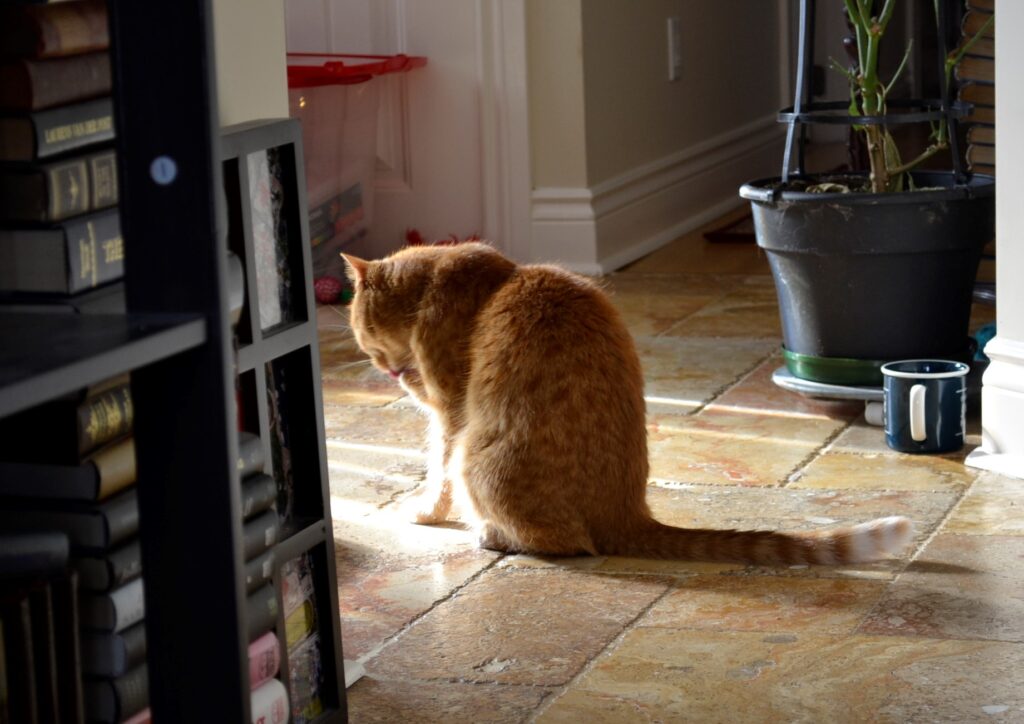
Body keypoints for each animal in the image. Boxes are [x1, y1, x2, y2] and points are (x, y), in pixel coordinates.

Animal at [342, 243, 913, 565]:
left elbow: (435, 472)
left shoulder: (449, 413)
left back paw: (493, 537)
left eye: (364, 337)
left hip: (476, 459)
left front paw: (423, 512)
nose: (385, 370)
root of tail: (628, 515)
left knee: (566, 543)